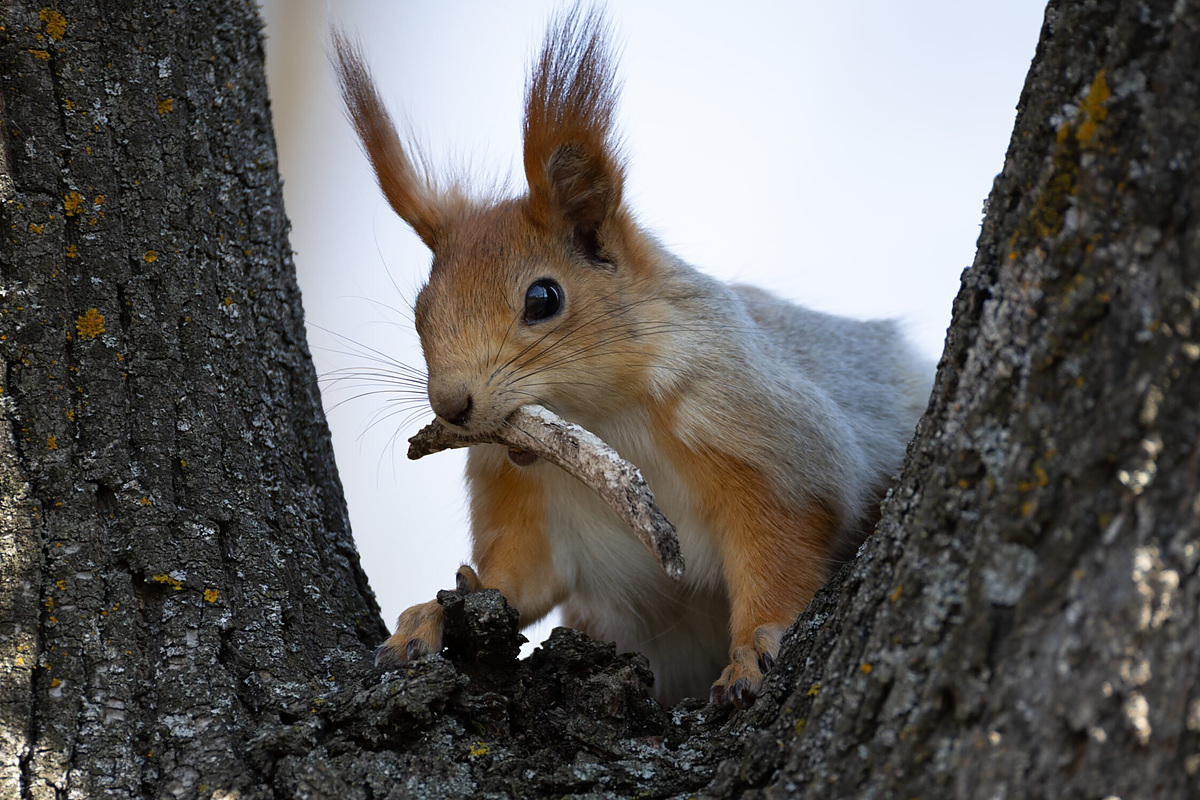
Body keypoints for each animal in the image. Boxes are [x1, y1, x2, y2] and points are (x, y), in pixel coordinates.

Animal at [332, 7, 932, 708]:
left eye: (543, 298)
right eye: (420, 309)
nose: (452, 406)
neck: (605, 420)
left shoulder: (769, 443)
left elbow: (780, 553)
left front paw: (753, 651)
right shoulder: (521, 493)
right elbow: (514, 581)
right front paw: (431, 614)